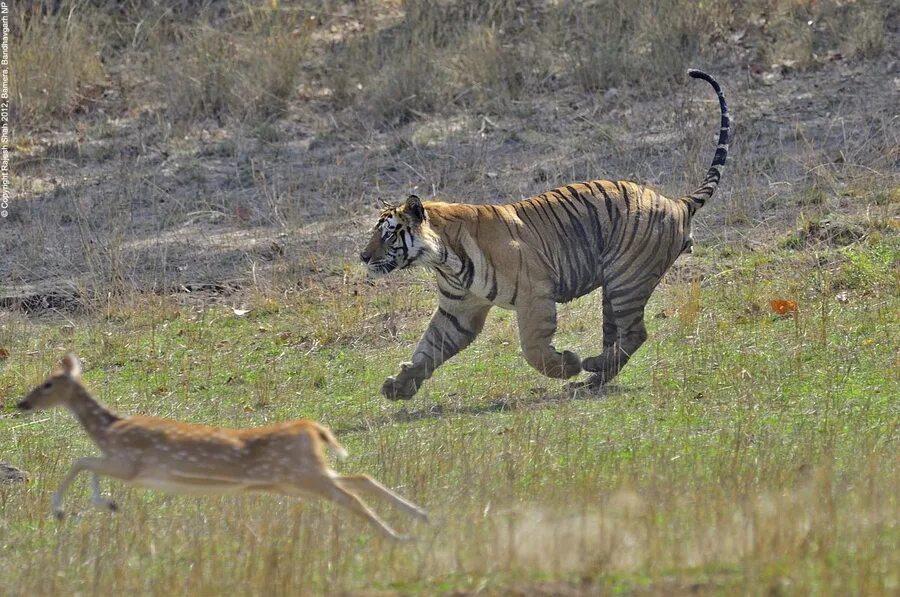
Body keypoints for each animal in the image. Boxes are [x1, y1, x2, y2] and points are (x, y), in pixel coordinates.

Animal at [14, 354, 428, 540]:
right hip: (298, 477)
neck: (109, 428)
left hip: (302, 475)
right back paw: (422, 518)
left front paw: (65, 509)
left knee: (352, 493)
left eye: (48, 383)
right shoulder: (122, 464)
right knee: (360, 479)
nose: (22, 402)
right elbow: (83, 462)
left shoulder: (131, 464)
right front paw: (106, 504)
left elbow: (80, 460)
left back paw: (399, 534)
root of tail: (313, 429)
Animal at [360, 70, 732, 398]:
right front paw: (398, 387)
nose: (363, 257)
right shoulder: (458, 311)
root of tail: (676, 202)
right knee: (619, 334)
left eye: (388, 234)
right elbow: (429, 348)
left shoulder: (534, 292)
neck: (444, 259)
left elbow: (532, 348)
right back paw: (591, 378)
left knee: (635, 332)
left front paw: (566, 364)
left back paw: (587, 367)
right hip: (616, 288)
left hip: (626, 278)